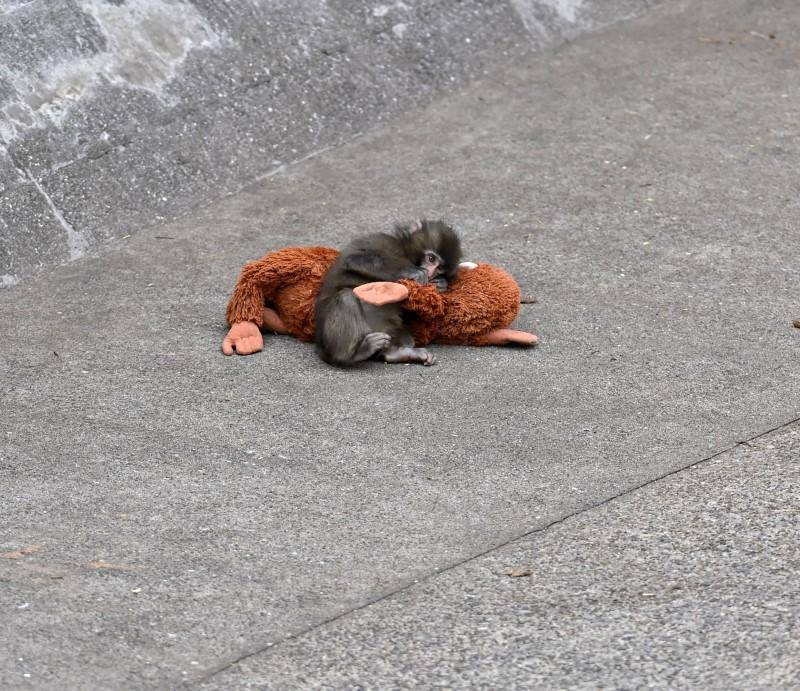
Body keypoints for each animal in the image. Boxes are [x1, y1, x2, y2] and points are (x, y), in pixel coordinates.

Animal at [314, 220, 462, 367]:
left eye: (439, 269)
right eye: (431, 258)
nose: (431, 273)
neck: (403, 251)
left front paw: (441, 284)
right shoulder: (381, 240)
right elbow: (354, 259)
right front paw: (412, 271)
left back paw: (395, 353)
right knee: (346, 298)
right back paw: (352, 354)